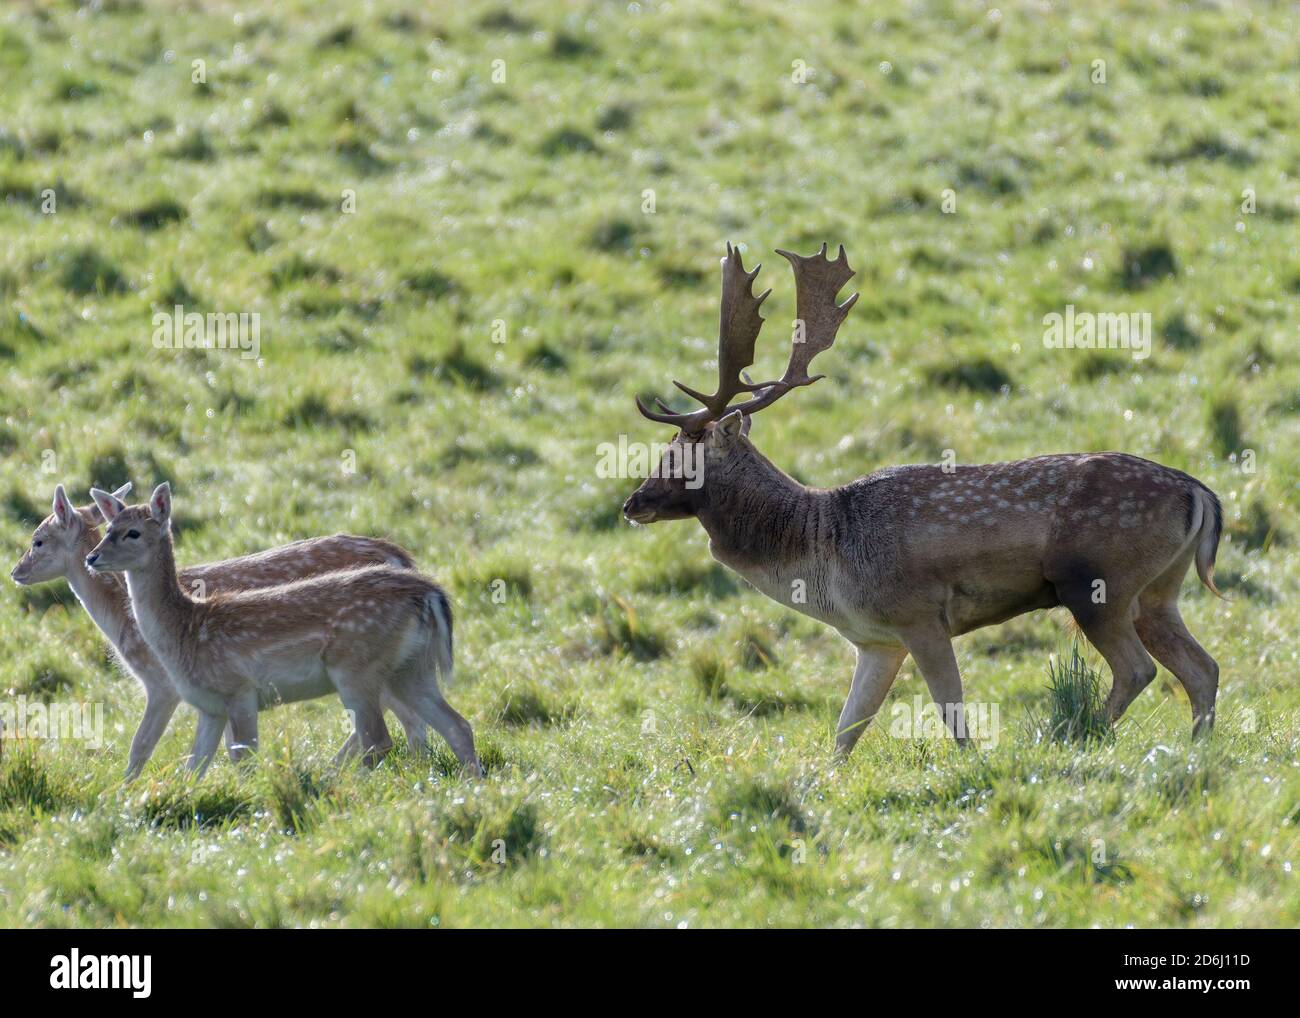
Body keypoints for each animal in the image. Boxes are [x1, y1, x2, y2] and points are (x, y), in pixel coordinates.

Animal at [10, 483, 423, 779]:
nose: (16, 571)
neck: (124, 620)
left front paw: (120, 795)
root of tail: (402, 557)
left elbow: (142, 745)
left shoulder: (165, 682)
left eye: (38, 540)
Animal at [622, 243, 1223, 757]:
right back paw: (1196, 749)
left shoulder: (919, 613)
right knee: (1203, 668)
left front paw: (972, 764)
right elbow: (845, 731)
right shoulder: (874, 640)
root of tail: (1200, 492)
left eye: (681, 454)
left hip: (1097, 581)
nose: (633, 503)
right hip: (1159, 590)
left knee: (1139, 669)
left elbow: (951, 712)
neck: (820, 551)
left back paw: (1079, 735)